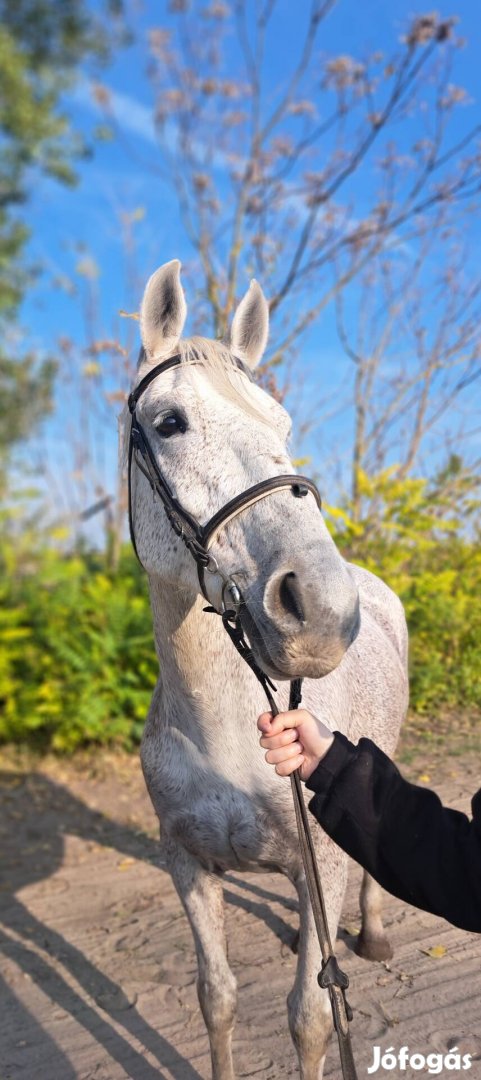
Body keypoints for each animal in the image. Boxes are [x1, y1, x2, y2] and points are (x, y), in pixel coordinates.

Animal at [121, 261, 406, 1080]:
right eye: (170, 423)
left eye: (281, 426)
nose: (323, 610)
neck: (220, 734)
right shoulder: (187, 865)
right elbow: (215, 997)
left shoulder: (322, 871)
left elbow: (311, 1017)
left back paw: (373, 933)